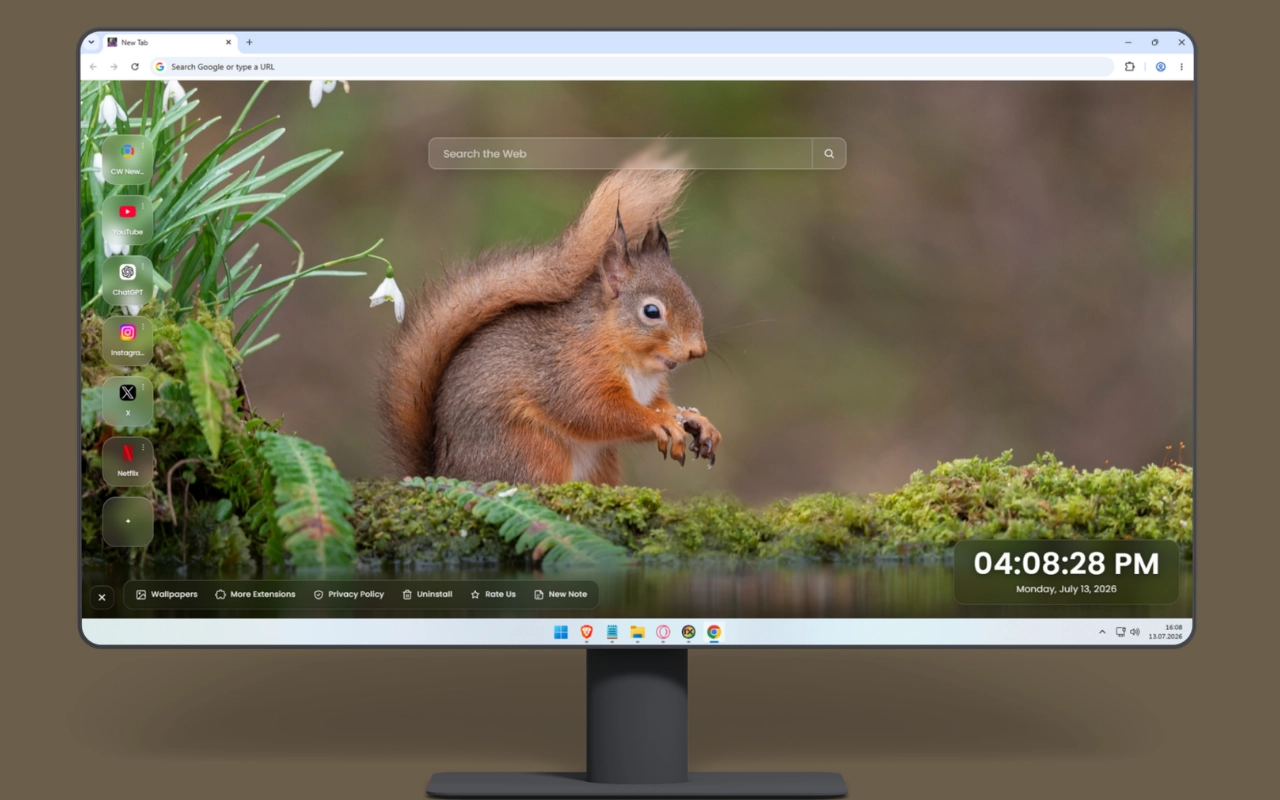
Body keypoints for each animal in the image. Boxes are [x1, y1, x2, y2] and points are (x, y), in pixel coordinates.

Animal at [378, 166, 721, 485]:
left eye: (691, 296)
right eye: (651, 311)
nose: (698, 350)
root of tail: (445, 473)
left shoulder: (648, 393)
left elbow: (661, 405)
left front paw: (694, 419)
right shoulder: (571, 372)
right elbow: (596, 412)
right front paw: (658, 423)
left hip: (600, 463)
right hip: (532, 448)